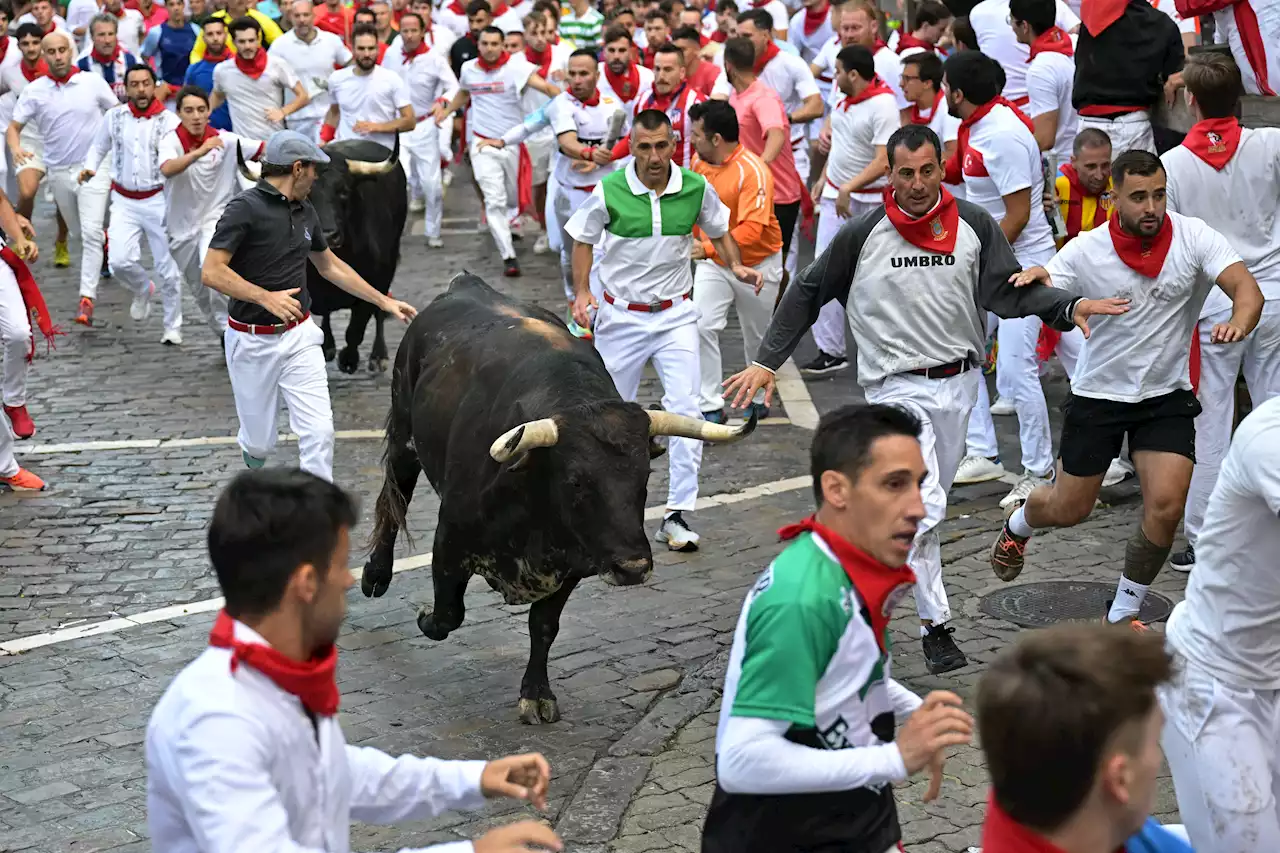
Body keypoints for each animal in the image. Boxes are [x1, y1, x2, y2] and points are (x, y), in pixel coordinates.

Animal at [236, 139, 404, 371]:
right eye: (307, 194)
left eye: (344, 191)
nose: (328, 235)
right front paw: (328, 346)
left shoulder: (377, 280)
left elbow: (357, 328)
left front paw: (349, 358)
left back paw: (378, 356)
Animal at [360, 274, 752, 722]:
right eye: (576, 481)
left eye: (645, 476)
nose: (633, 568)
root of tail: (465, 284)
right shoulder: (449, 541)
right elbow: (447, 614)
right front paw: (425, 617)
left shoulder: (575, 563)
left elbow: (544, 626)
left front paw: (536, 693)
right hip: (405, 436)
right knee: (394, 500)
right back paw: (375, 574)